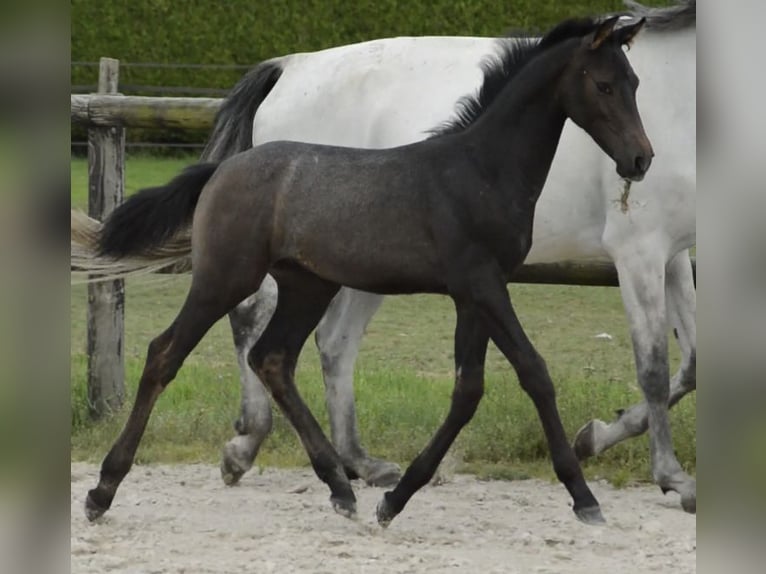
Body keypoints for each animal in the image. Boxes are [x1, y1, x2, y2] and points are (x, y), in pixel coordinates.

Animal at [85, 16, 656, 532]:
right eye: (603, 85)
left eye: (635, 82)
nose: (640, 159)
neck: (481, 171)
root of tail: (222, 170)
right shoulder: (482, 284)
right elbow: (534, 373)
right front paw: (583, 496)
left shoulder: (474, 293)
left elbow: (467, 391)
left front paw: (395, 499)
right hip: (226, 276)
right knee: (166, 353)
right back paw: (102, 491)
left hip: (307, 285)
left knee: (272, 358)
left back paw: (340, 487)